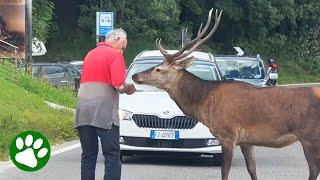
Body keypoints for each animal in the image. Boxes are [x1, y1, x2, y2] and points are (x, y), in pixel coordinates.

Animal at [132, 8, 320, 180]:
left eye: (158, 69)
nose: (135, 76)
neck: (205, 103)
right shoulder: (246, 140)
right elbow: (252, 170)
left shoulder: (228, 134)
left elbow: (225, 171)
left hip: (310, 136)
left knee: (313, 171)